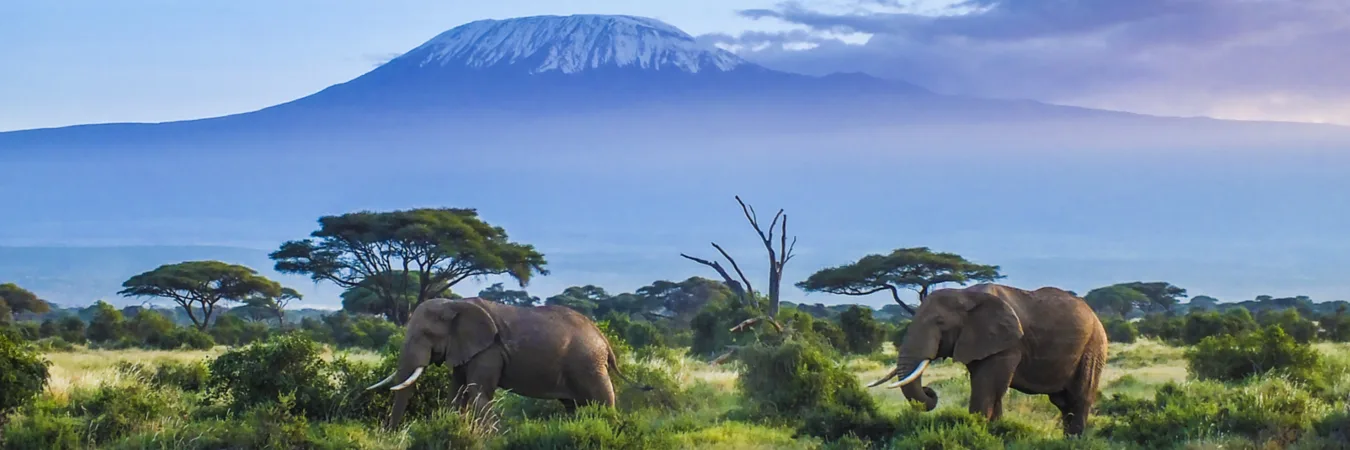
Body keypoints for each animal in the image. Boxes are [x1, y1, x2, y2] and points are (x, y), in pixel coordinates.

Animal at [364, 295, 648, 427]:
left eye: (425, 334)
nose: (389, 433)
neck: (455, 303)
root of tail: (604, 339)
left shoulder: (489, 351)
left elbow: (477, 393)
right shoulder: (465, 350)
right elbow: (456, 393)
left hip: (588, 363)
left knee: (602, 401)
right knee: (574, 406)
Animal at [864, 283, 1107, 435]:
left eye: (940, 322)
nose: (930, 391)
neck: (965, 294)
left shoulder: (1008, 345)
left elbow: (989, 387)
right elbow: (990, 389)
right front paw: (994, 431)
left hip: (1093, 347)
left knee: (1079, 398)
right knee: (1063, 403)